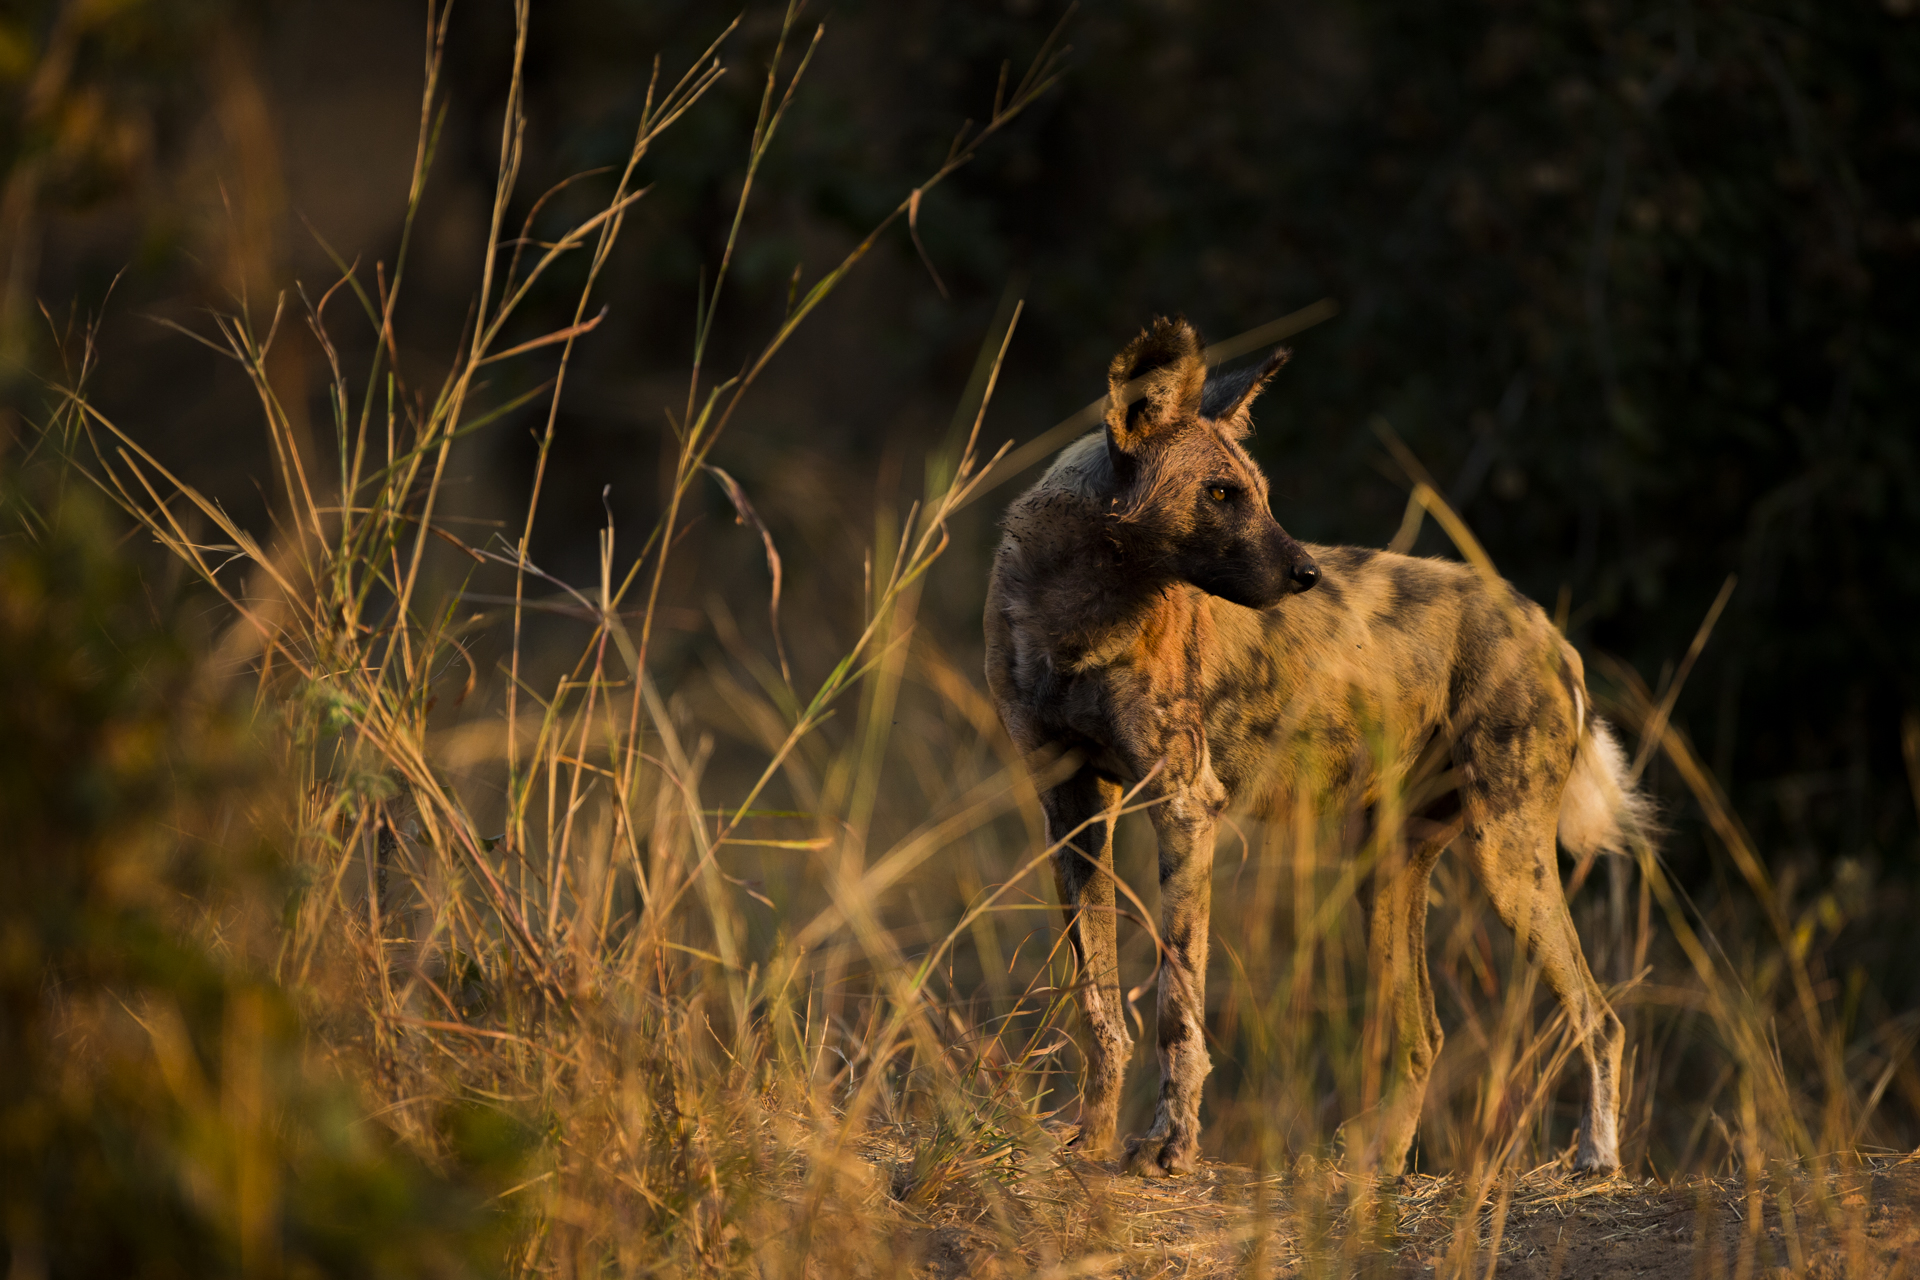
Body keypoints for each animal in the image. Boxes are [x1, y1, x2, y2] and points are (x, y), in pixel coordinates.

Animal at [983, 318, 1658, 1182]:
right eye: (1221, 494)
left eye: (1260, 493)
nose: (1305, 573)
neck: (1078, 615)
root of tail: (1547, 630)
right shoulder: (1071, 811)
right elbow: (1099, 1002)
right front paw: (1092, 1139)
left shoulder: (1184, 807)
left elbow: (1176, 1009)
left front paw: (1169, 1148)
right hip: (1386, 867)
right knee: (1424, 1036)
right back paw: (1379, 1167)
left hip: (1508, 858)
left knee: (1599, 1018)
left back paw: (1597, 1160)